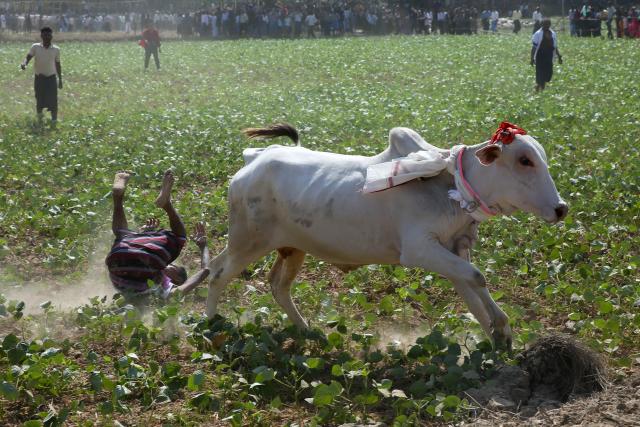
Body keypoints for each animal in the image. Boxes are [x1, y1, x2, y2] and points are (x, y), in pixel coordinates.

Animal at [205, 123, 568, 349]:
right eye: (524, 160)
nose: (561, 208)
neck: (451, 184)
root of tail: (253, 160)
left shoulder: (453, 250)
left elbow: (473, 290)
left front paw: (499, 335)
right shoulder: (419, 249)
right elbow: (478, 277)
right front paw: (500, 328)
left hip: (291, 247)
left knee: (276, 286)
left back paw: (307, 331)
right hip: (247, 242)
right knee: (217, 275)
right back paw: (210, 327)